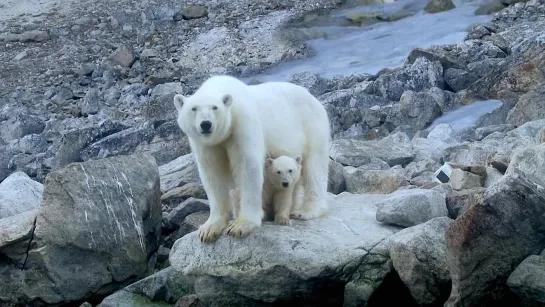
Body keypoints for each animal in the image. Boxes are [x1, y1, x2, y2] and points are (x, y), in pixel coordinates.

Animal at [172, 74, 330, 243]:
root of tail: (313, 98)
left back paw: (305, 211)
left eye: (215, 107)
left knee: (315, 168)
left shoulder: (242, 124)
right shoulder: (205, 143)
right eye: (194, 109)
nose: (206, 124)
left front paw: (240, 225)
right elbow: (212, 174)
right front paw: (209, 229)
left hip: (312, 127)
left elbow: (248, 166)